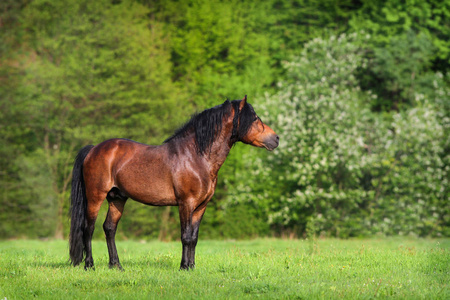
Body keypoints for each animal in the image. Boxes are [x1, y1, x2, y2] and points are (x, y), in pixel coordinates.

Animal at [68, 96, 280, 270]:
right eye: (254, 118)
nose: (276, 139)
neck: (196, 156)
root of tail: (94, 149)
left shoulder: (201, 206)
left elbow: (193, 237)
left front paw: (191, 267)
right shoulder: (186, 203)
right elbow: (185, 236)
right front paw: (184, 267)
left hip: (117, 198)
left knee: (109, 229)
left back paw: (116, 266)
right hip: (95, 197)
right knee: (88, 229)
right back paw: (89, 265)